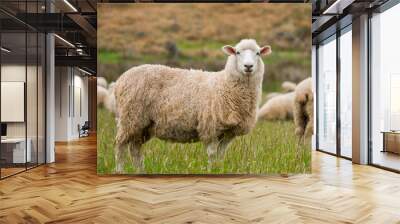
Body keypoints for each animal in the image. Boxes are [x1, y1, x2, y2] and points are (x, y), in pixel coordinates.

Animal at [114, 38, 274, 172]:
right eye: (237, 52)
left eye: (258, 53)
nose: (248, 66)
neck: (226, 85)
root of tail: (121, 79)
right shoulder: (210, 127)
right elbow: (212, 155)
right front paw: (211, 171)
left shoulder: (229, 133)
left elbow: (221, 155)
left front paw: (219, 169)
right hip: (130, 118)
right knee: (120, 146)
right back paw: (120, 170)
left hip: (143, 125)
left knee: (135, 149)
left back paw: (140, 171)